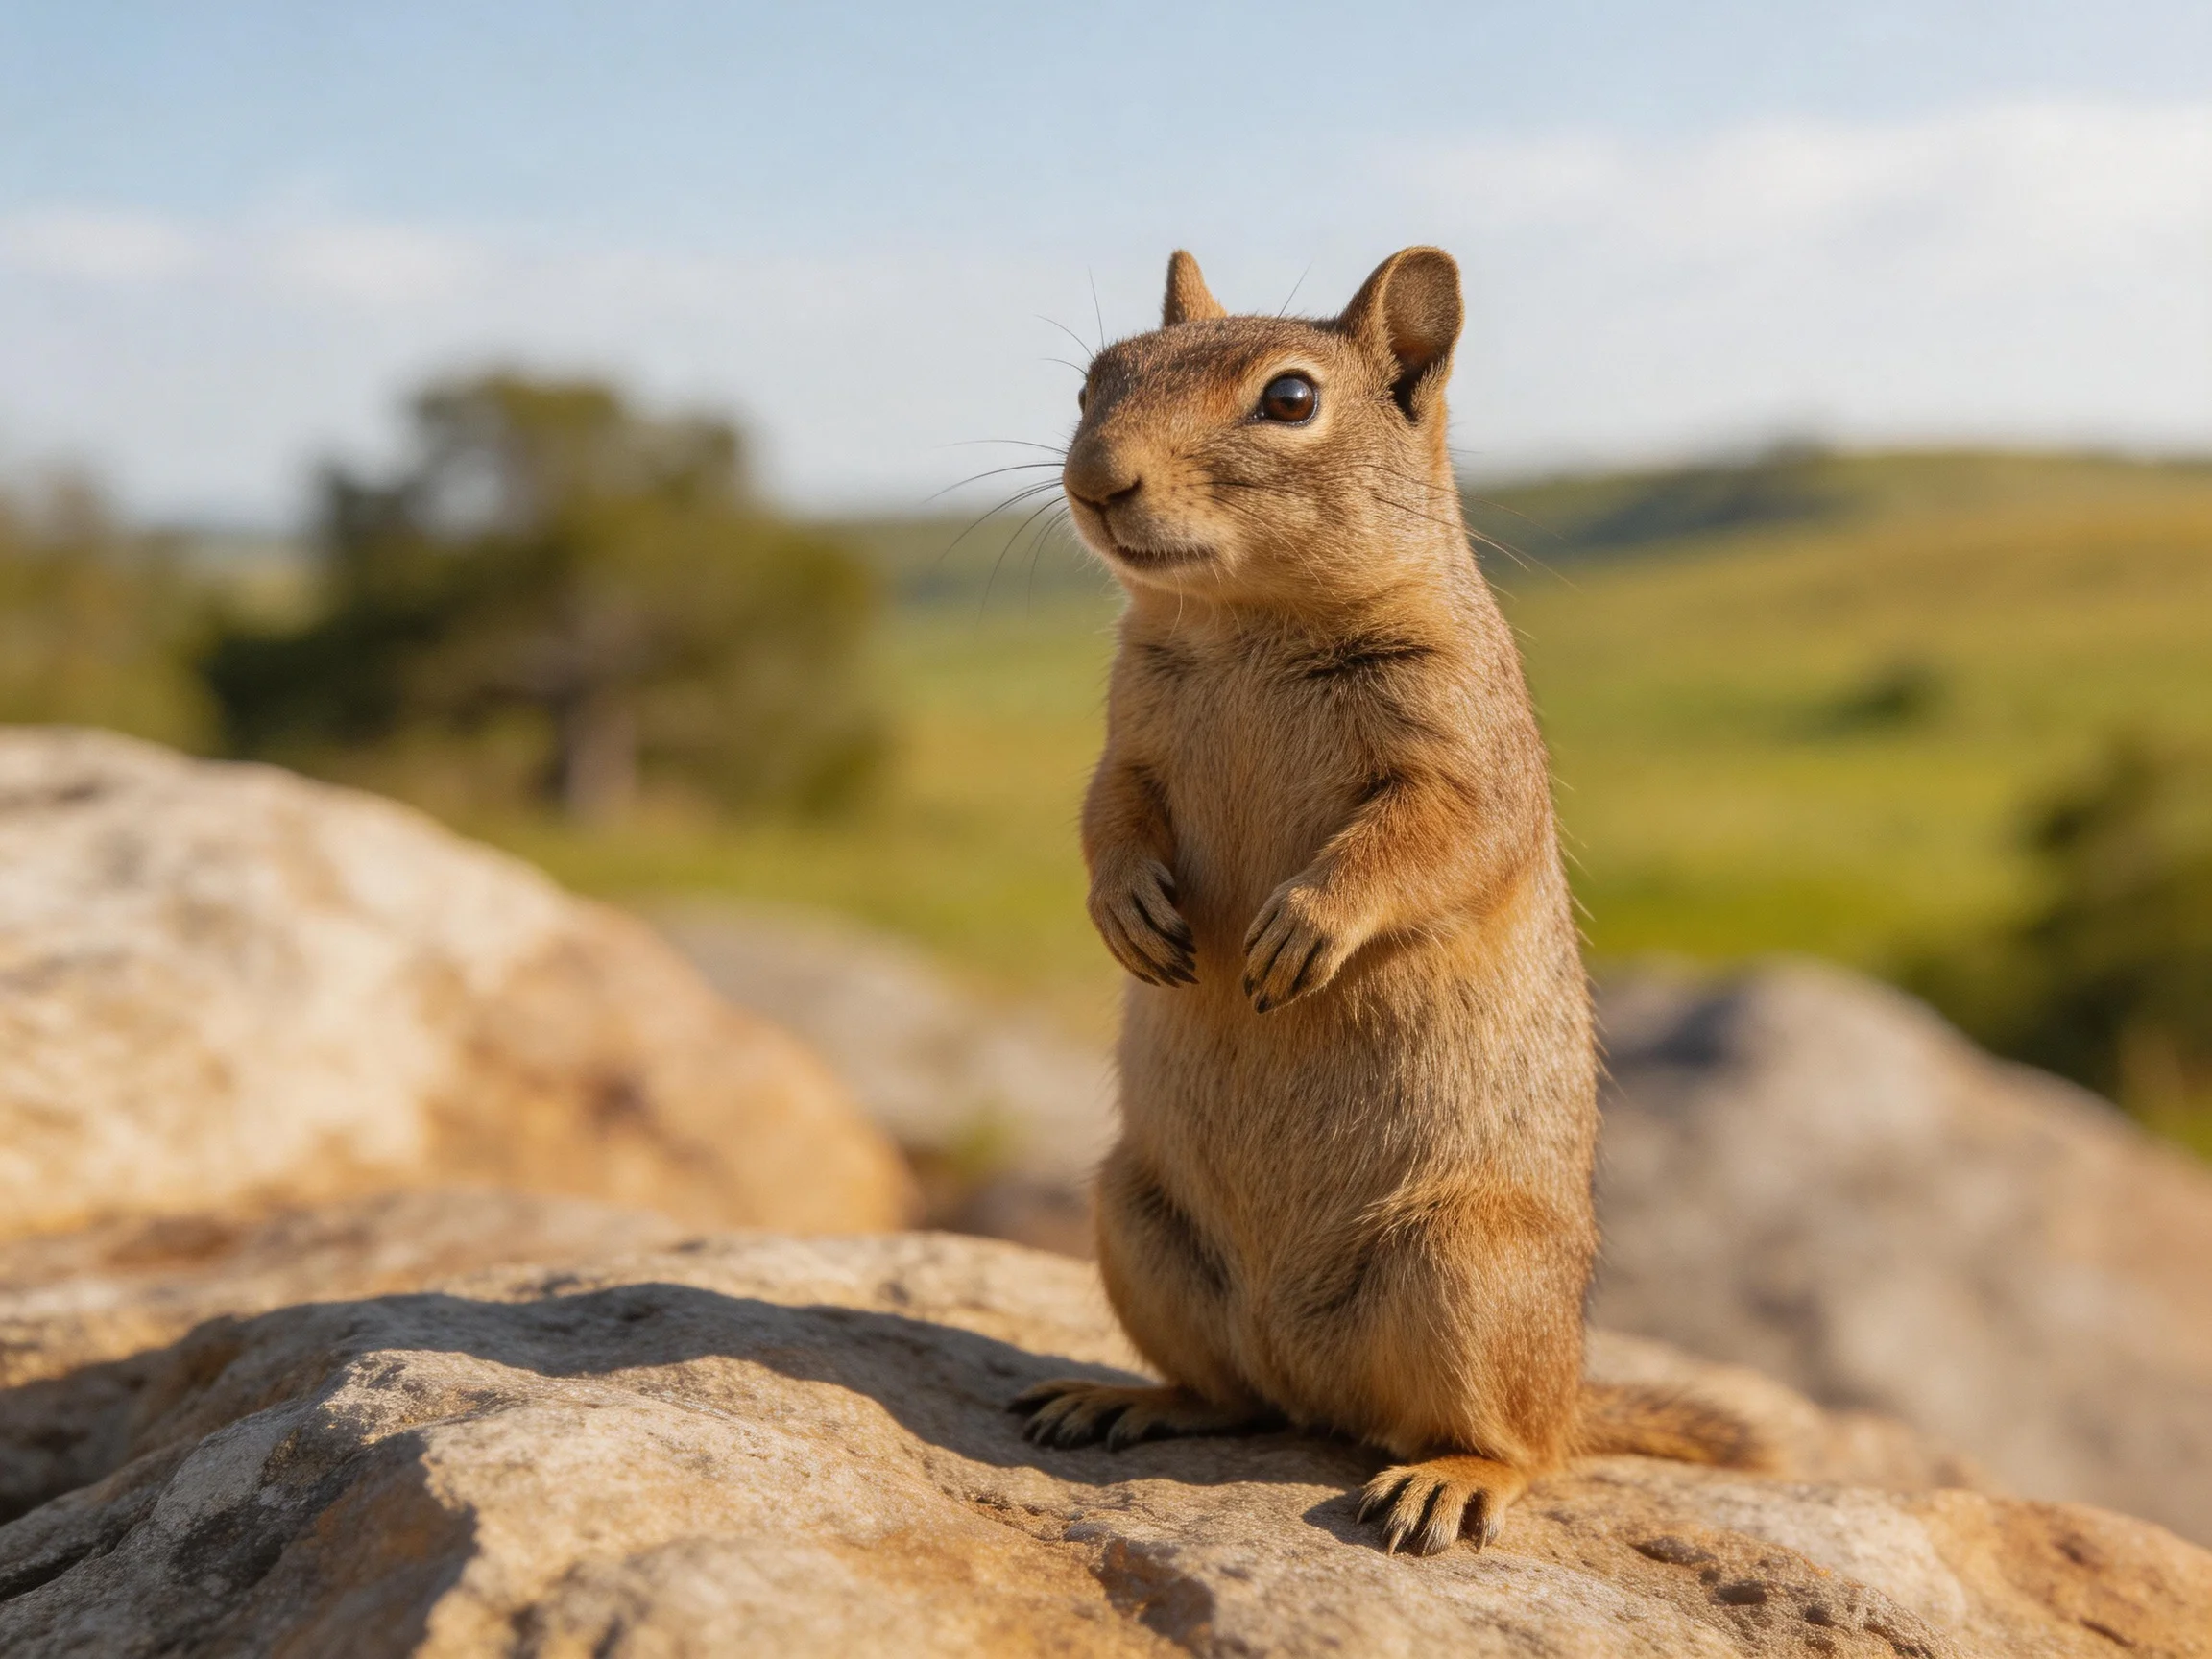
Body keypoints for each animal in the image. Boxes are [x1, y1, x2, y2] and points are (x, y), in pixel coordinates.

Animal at [1010, 248, 1771, 1556]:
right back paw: (1127, 1398)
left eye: (1290, 399)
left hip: (1466, 1268)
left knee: (1525, 1447)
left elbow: (1426, 841)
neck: (1247, 623)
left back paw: (1449, 1482)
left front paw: (1300, 928)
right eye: (1092, 381)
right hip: (1135, 1216)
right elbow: (1110, 813)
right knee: (1234, 1394)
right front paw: (1129, 915)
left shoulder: (1462, 753)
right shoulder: (1127, 744)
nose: (1095, 479)